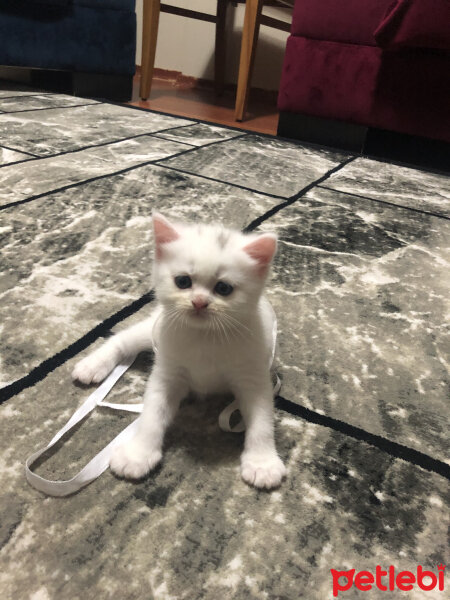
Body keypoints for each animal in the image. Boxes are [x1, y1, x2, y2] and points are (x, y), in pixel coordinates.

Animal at [72, 213, 286, 490]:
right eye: (183, 282)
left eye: (223, 288)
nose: (199, 302)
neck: (205, 337)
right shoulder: (167, 374)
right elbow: (152, 414)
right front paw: (138, 454)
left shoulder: (253, 377)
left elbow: (262, 420)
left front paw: (262, 463)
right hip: (154, 327)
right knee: (122, 338)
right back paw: (93, 365)